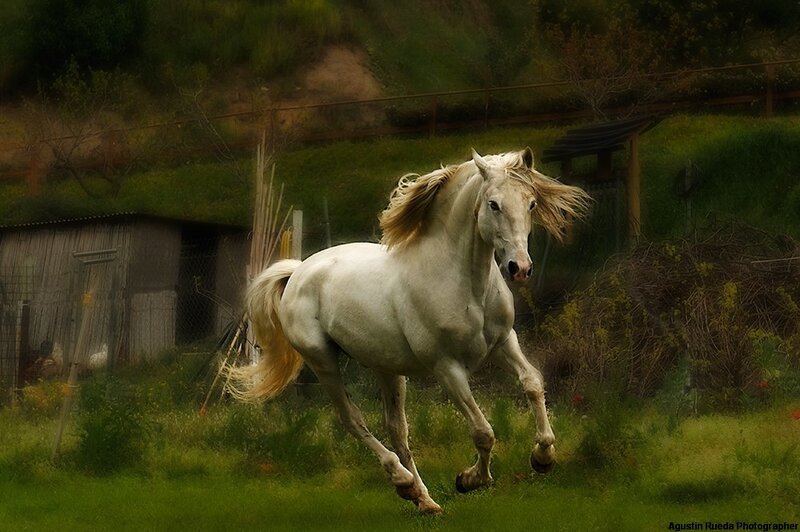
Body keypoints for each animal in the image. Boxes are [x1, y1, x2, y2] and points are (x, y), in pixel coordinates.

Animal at [227, 148, 591, 513]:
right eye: (493, 204)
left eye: (531, 203)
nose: (520, 268)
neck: (463, 281)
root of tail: (299, 270)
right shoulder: (446, 367)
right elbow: (483, 431)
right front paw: (470, 480)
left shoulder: (504, 341)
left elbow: (532, 383)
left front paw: (543, 457)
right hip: (322, 361)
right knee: (353, 420)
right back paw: (403, 482)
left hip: (387, 368)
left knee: (397, 429)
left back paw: (424, 499)